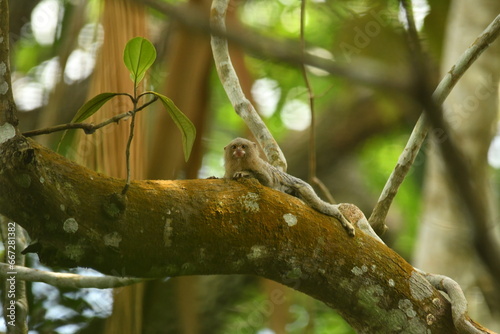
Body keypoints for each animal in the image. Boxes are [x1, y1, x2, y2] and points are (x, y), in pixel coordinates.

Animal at [223, 137, 356, 236]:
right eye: (234, 147)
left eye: (243, 146)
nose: (238, 151)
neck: (240, 163)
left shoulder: (261, 167)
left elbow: (267, 181)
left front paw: (243, 173)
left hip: (305, 189)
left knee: (321, 206)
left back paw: (343, 219)